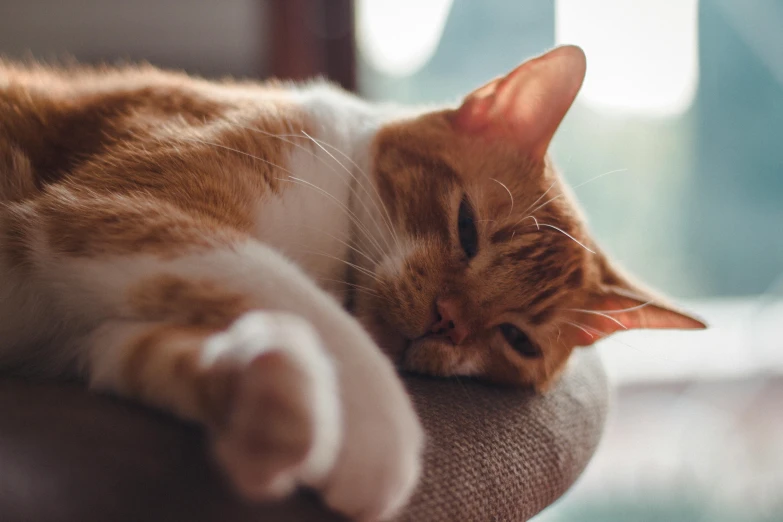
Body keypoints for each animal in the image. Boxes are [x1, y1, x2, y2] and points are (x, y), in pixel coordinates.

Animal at [0, 46, 704, 516]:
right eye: (467, 228)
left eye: (517, 339)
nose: (449, 322)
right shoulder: (112, 211)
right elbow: (310, 308)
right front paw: (379, 444)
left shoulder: (93, 334)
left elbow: (167, 355)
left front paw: (271, 402)